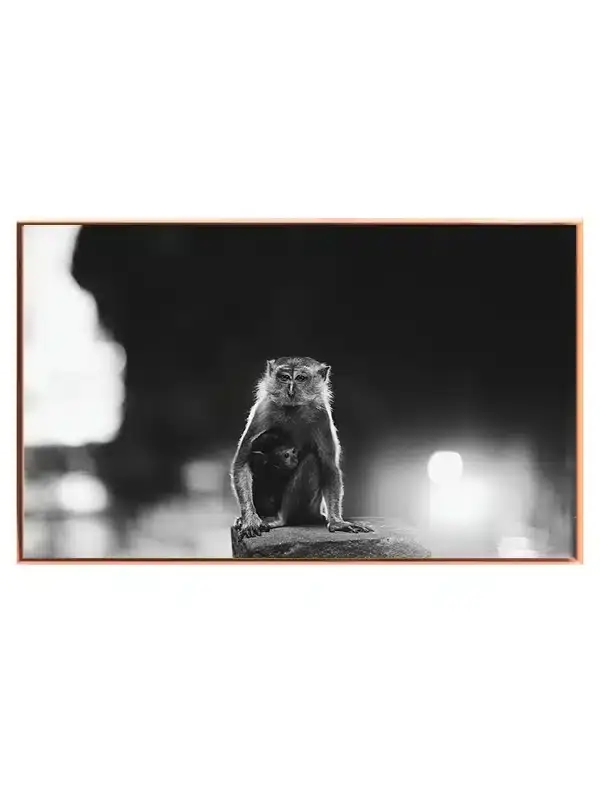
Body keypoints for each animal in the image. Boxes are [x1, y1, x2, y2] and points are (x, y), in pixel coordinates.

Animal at [231, 356, 374, 539]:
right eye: (284, 377)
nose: (290, 391)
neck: (292, 410)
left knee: (311, 462)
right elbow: (242, 462)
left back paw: (282, 518)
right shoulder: (263, 410)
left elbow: (328, 467)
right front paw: (249, 519)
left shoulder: (322, 416)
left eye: (300, 378)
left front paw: (337, 522)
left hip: (307, 509)